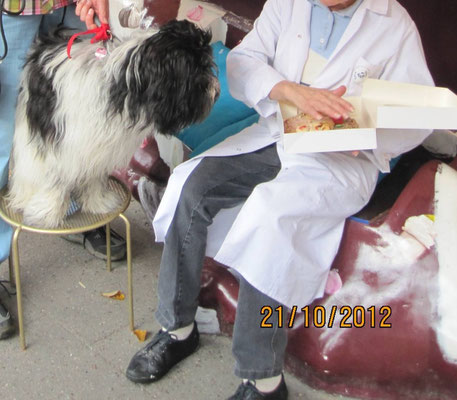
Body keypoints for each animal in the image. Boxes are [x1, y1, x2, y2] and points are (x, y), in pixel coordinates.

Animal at [8, 20, 219, 227]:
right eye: (197, 68)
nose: (216, 91)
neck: (123, 87)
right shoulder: (62, 143)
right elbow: (56, 178)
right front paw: (48, 213)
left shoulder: (98, 148)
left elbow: (93, 176)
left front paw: (97, 202)